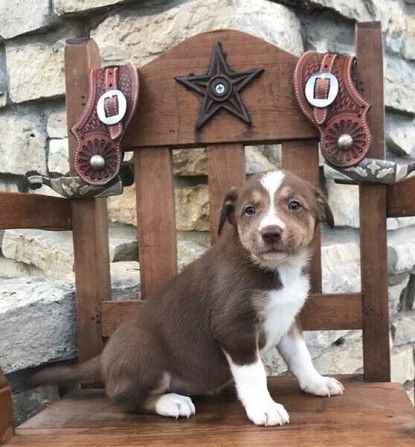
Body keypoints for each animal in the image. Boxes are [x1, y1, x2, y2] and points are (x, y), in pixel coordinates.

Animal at [30, 171, 344, 428]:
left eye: (294, 205)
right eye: (249, 210)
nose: (270, 233)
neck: (276, 269)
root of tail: (104, 358)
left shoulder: (288, 321)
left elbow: (301, 357)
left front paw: (317, 382)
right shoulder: (235, 327)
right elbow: (255, 374)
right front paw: (264, 409)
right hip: (144, 354)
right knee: (124, 399)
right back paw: (172, 402)